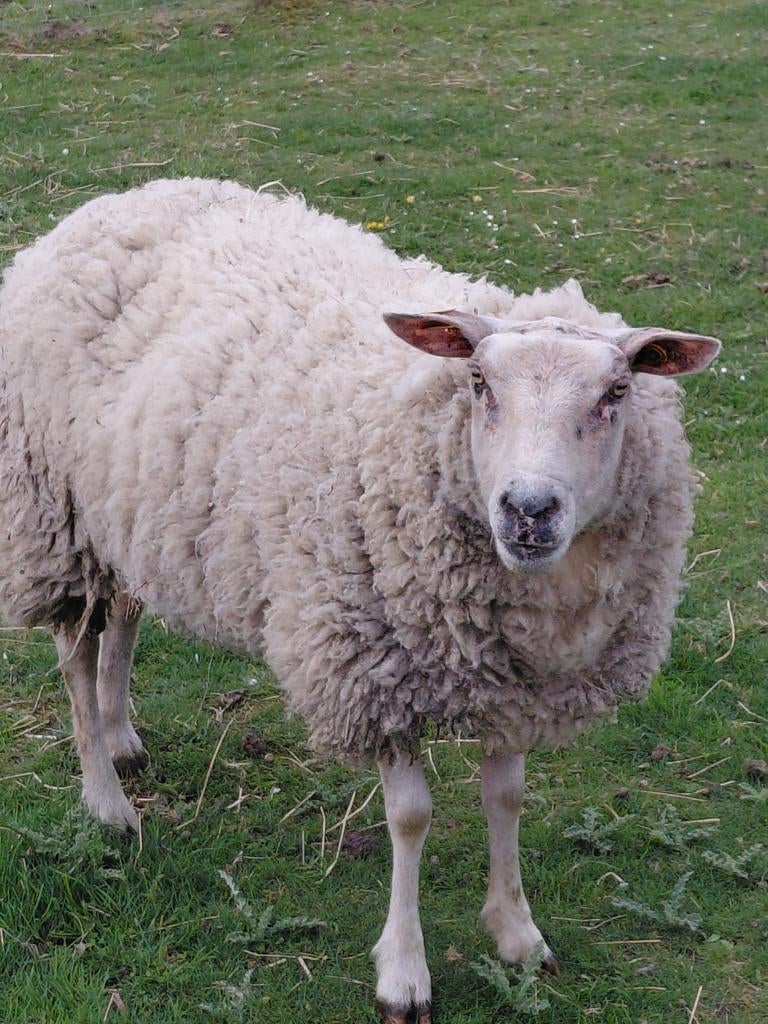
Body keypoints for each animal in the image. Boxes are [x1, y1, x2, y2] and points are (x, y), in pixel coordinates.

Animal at [0, 177, 720, 1023]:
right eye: (480, 384)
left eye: (616, 393)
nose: (528, 510)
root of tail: (111, 202)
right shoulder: (373, 664)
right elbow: (410, 818)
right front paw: (403, 973)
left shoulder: (517, 678)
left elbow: (507, 797)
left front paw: (517, 932)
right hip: (55, 514)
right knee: (76, 657)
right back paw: (107, 801)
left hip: (127, 508)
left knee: (125, 616)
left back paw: (119, 738)